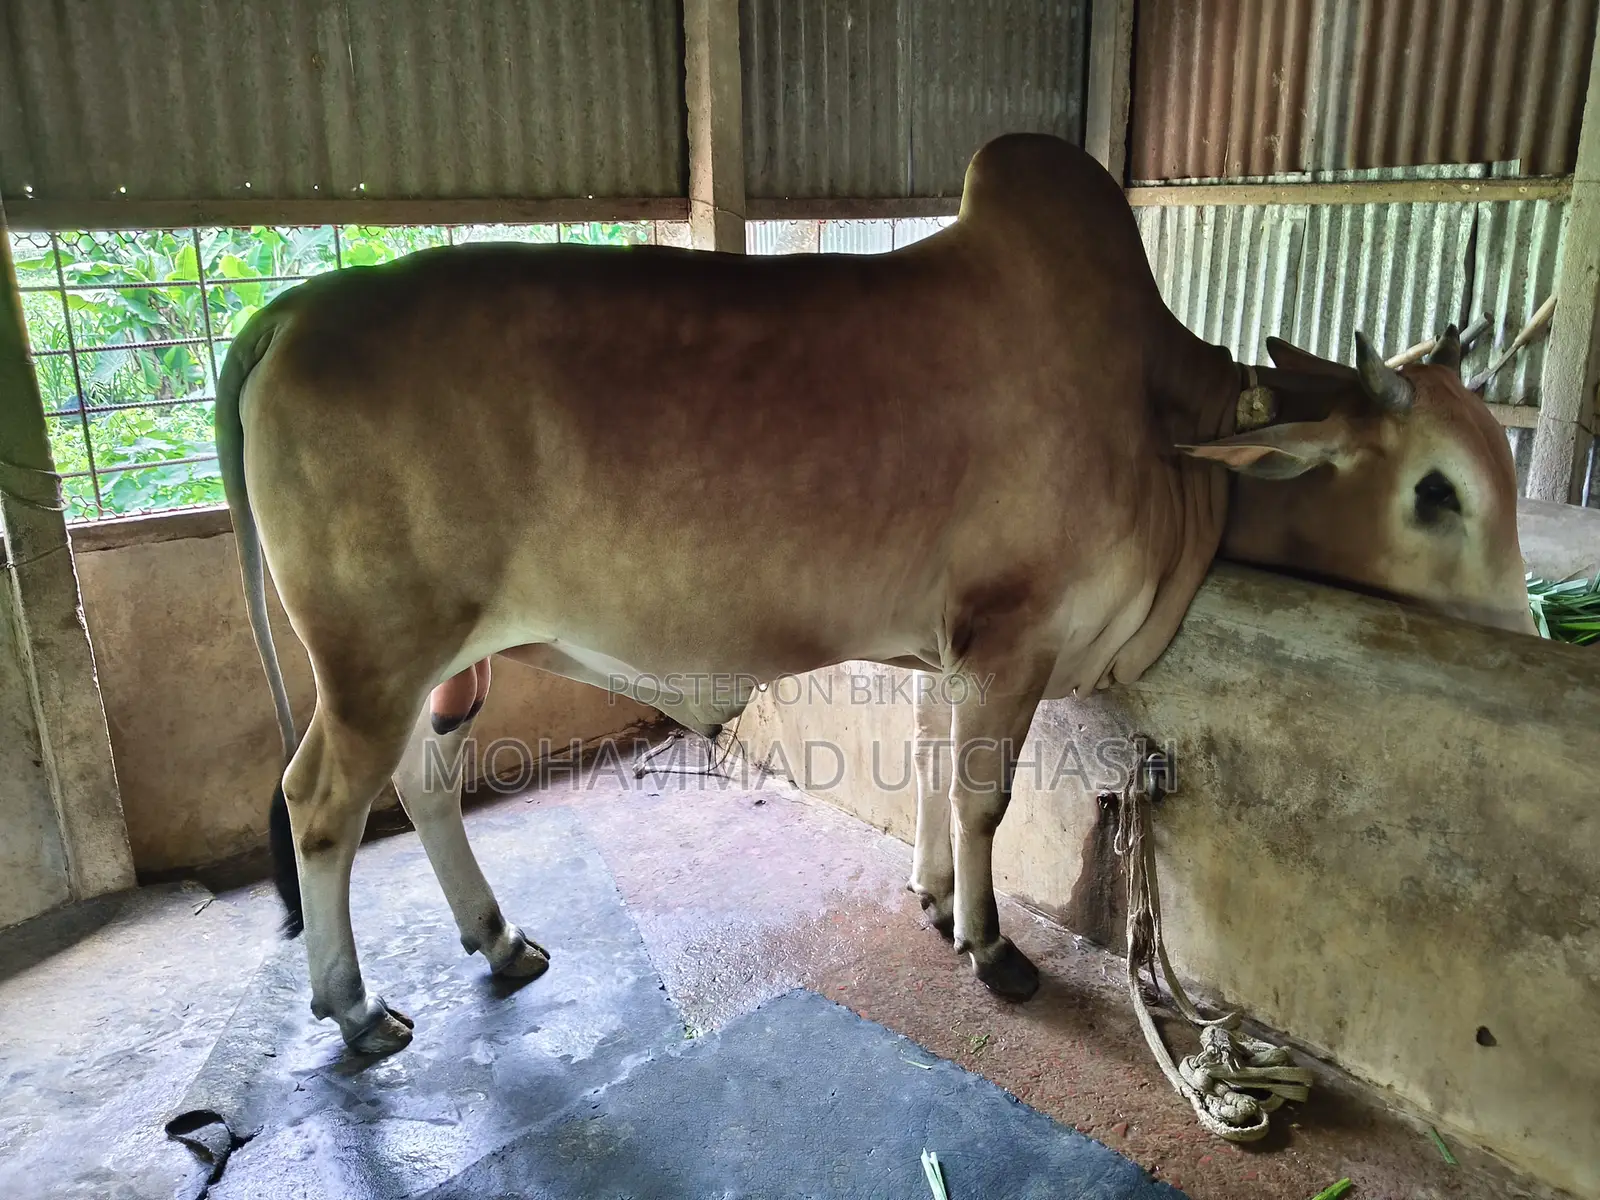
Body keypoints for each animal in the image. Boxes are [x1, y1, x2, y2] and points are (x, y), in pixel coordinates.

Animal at [217, 133, 1536, 1056]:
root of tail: (293, 306)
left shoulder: (946, 650)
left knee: (426, 782)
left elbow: (934, 766)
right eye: (1435, 492)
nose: (1521, 630)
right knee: (319, 804)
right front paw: (991, 948)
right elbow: (984, 795)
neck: (1162, 428)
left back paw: (494, 941)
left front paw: (934, 899)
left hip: (448, 663)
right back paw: (355, 1009)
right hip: (373, 659)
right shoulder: (1011, 638)